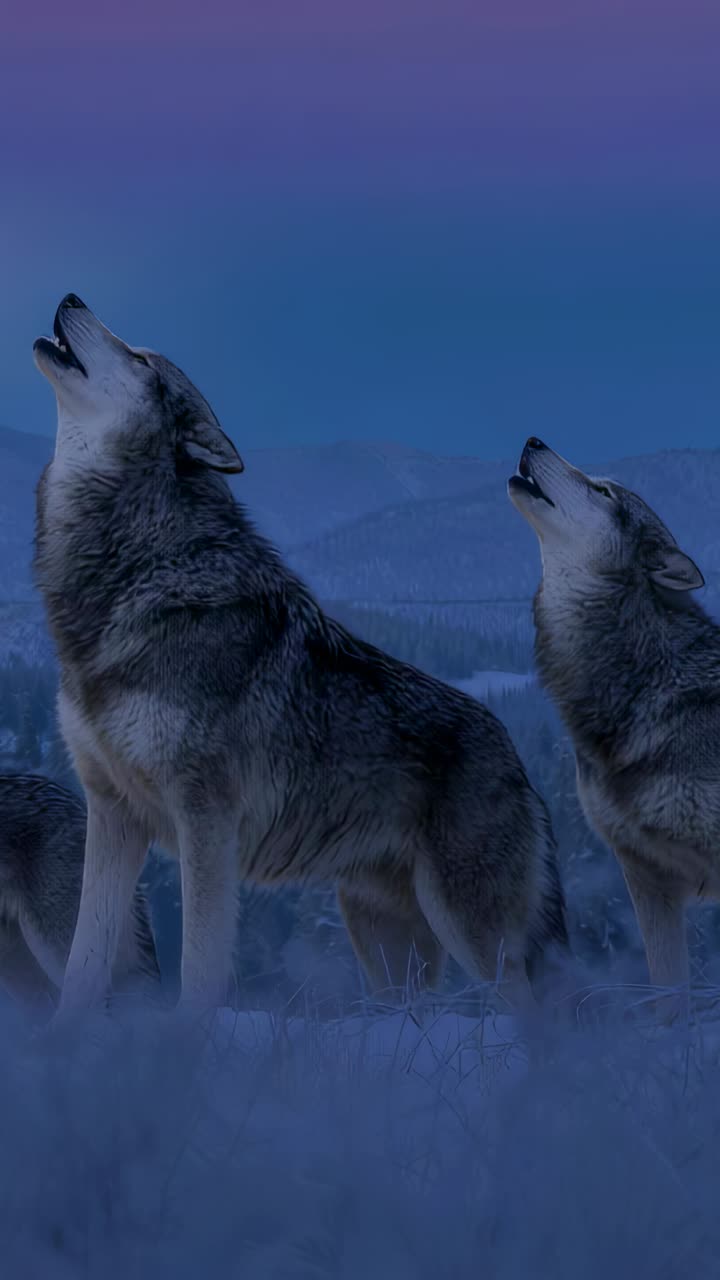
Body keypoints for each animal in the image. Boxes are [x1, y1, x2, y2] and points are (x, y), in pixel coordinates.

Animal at [32, 294, 567, 1021]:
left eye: (140, 357)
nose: (71, 298)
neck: (136, 567)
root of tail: (516, 755)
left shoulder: (206, 819)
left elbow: (199, 967)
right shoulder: (112, 814)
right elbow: (83, 964)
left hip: (474, 936)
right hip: (384, 949)